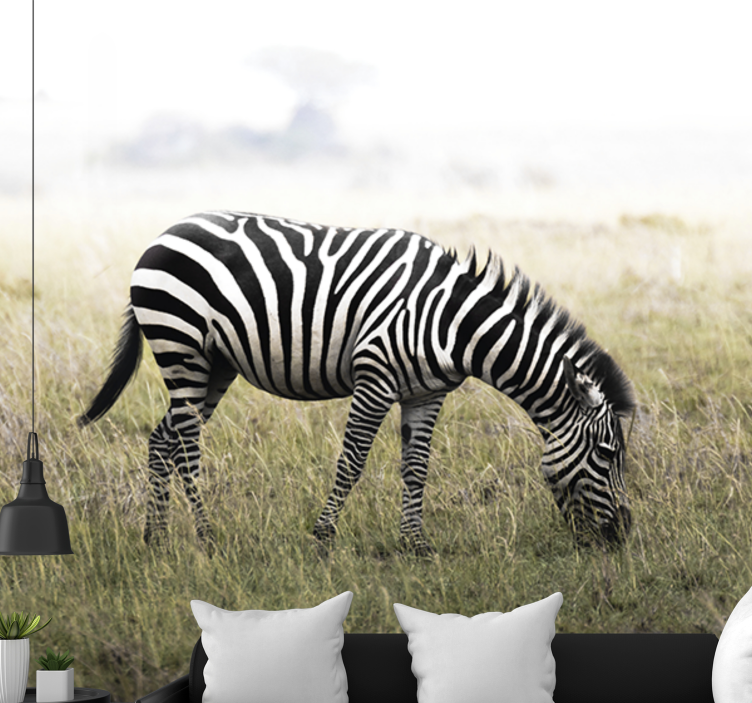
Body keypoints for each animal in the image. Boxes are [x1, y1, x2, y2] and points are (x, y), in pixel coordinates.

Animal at [79, 211, 636, 555]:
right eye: (608, 453)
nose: (624, 534)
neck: (455, 322)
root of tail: (165, 232)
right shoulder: (375, 375)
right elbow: (351, 462)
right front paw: (323, 538)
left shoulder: (426, 393)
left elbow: (416, 468)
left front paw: (415, 545)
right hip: (181, 346)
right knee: (188, 444)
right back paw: (206, 538)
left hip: (214, 363)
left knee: (164, 439)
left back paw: (156, 538)